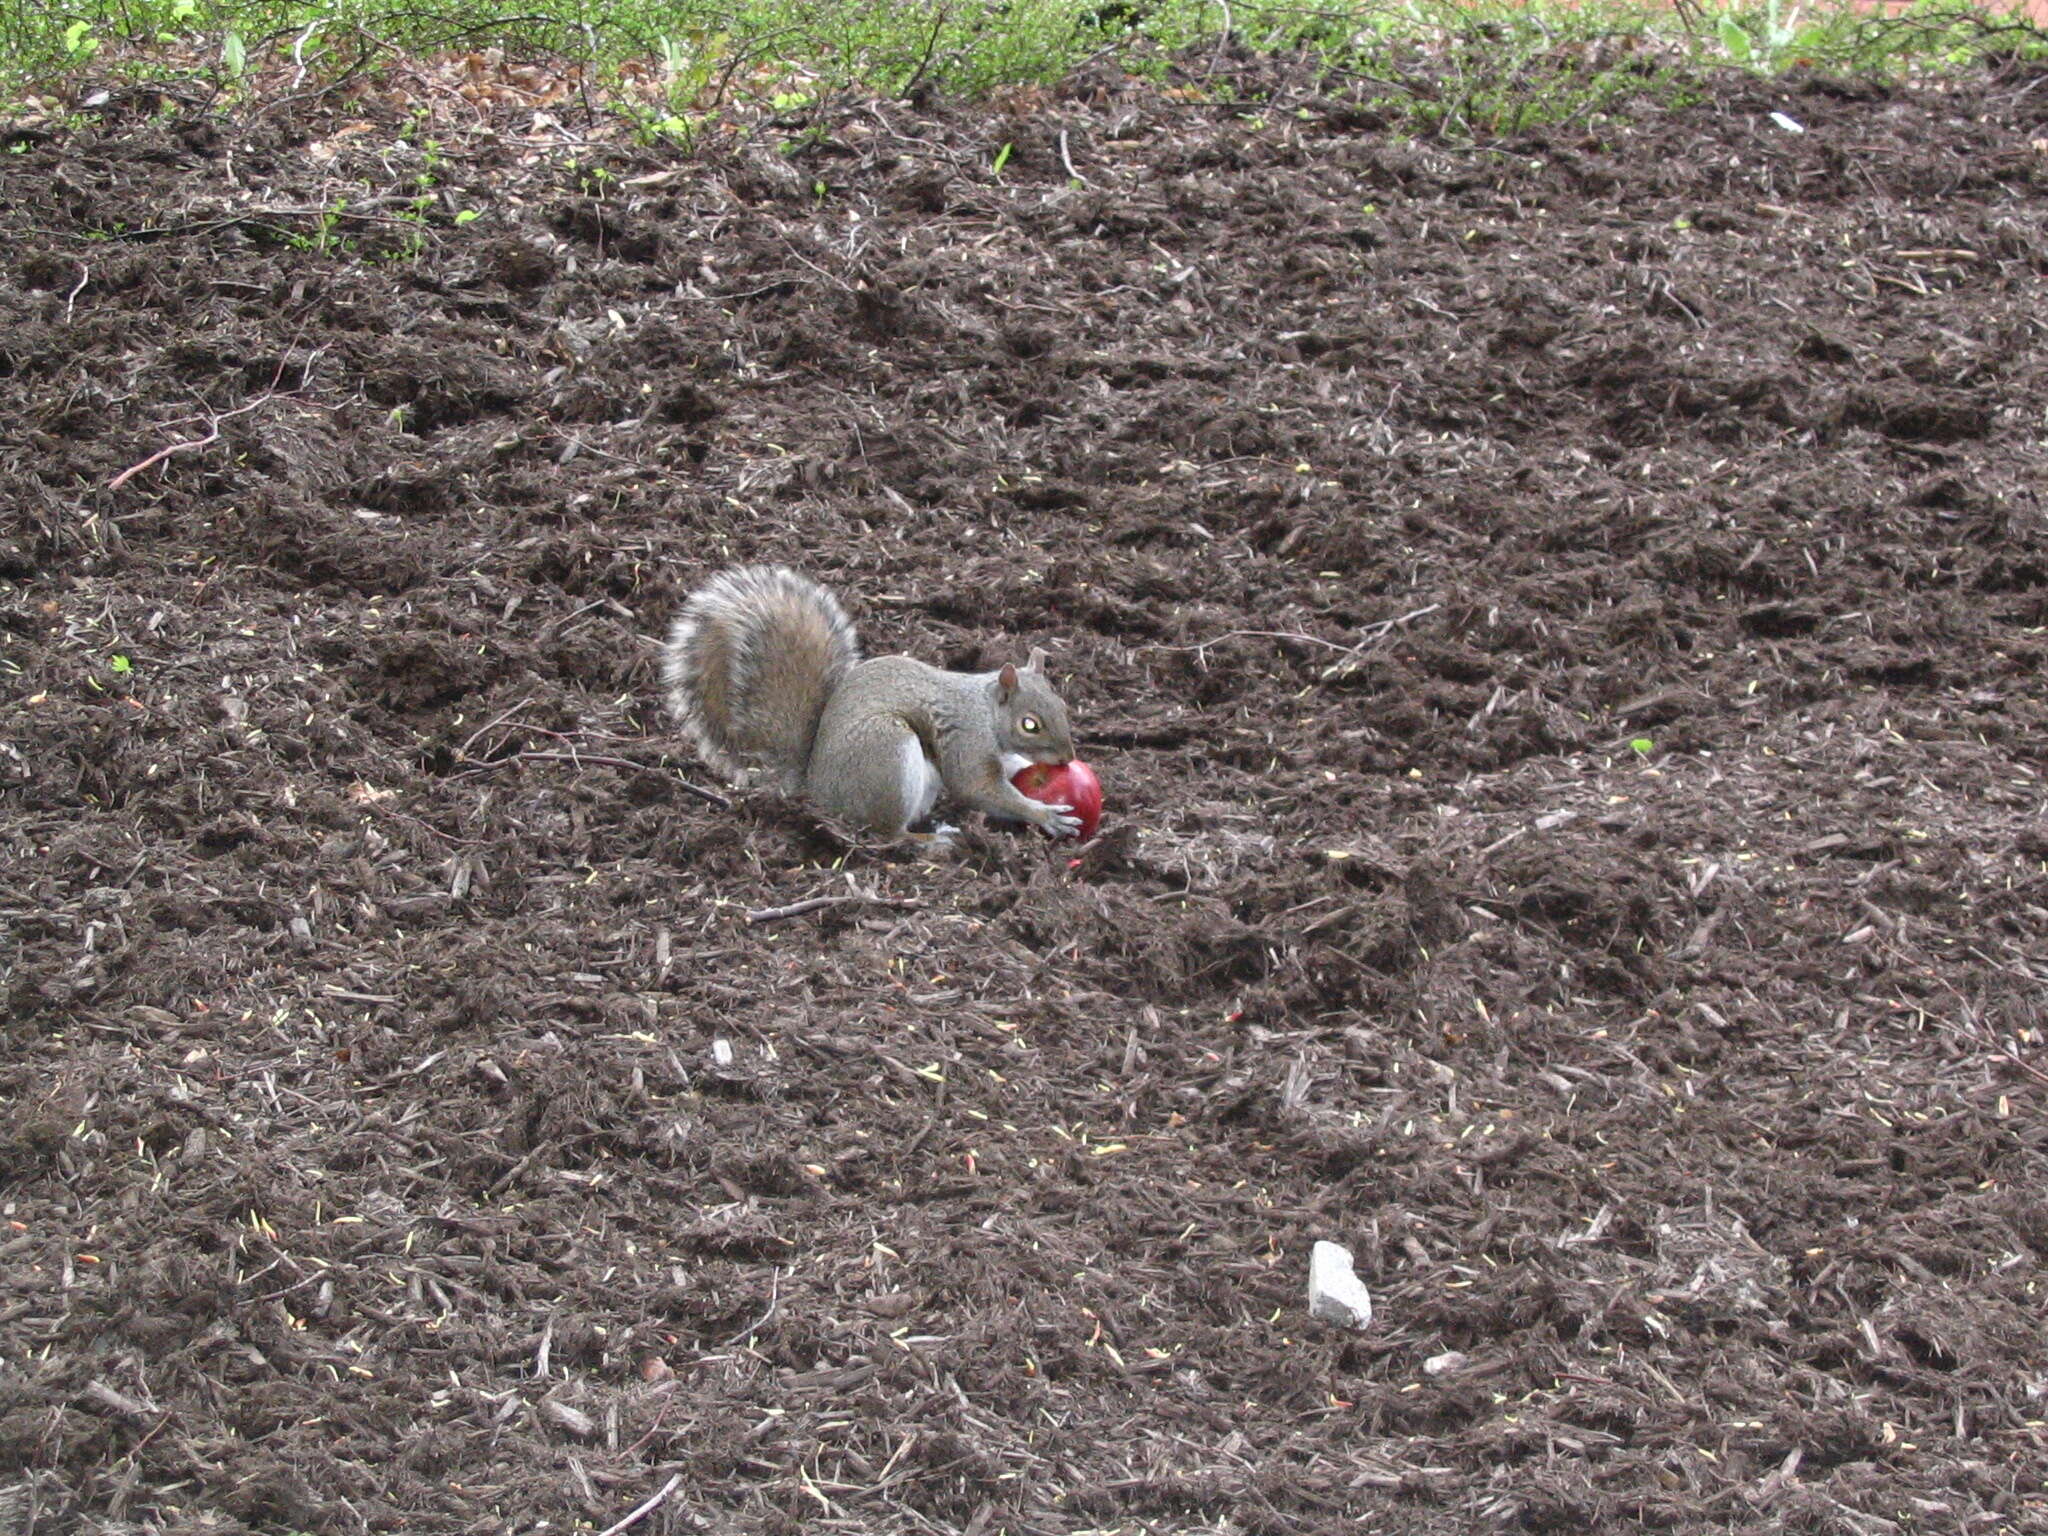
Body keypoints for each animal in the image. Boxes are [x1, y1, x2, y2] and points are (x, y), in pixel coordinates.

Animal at [667, 569, 1089, 843]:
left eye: (1062, 705)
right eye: (1029, 724)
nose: (1067, 759)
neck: (986, 712)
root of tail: (818, 789)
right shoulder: (967, 739)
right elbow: (977, 788)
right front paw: (1046, 815)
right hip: (886, 752)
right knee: (889, 833)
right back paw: (930, 841)